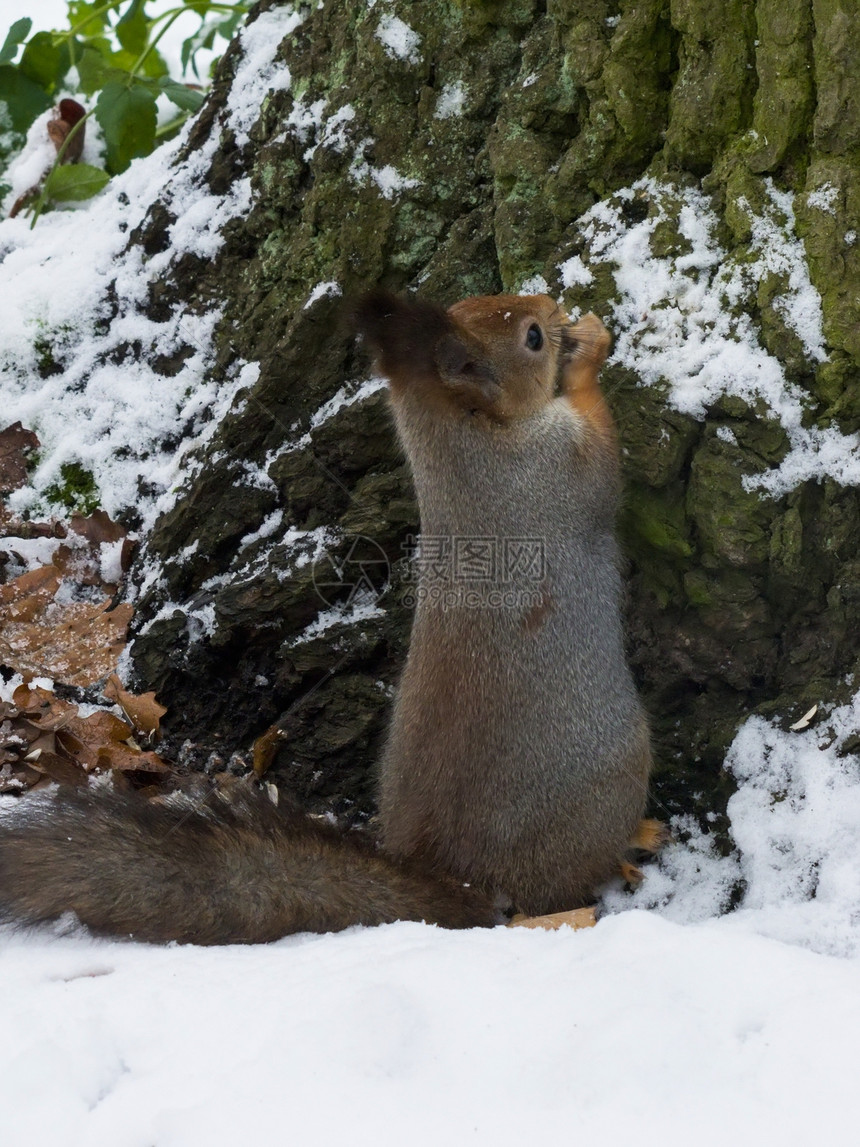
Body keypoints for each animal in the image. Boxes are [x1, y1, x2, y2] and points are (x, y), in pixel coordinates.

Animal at [0, 289, 651, 940]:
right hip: (614, 776)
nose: (554, 307)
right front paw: (591, 349)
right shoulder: (557, 469)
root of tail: (462, 880)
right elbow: (603, 454)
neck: (463, 445)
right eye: (533, 337)